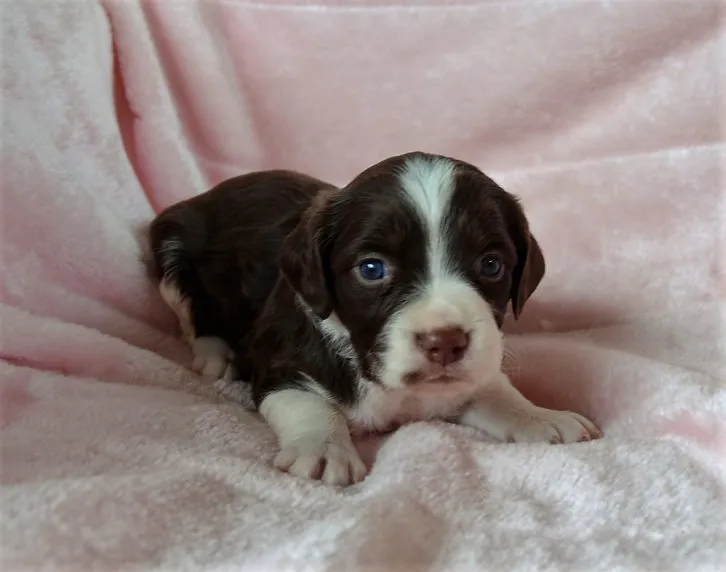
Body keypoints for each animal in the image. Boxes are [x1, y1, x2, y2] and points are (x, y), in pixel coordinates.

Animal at [148, 153, 604, 488]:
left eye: (491, 264)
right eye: (372, 269)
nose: (445, 341)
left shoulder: (468, 373)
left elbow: (495, 390)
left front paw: (541, 416)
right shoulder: (279, 360)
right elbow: (307, 402)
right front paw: (324, 449)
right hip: (171, 247)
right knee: (188, 310)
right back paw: (214, 353)